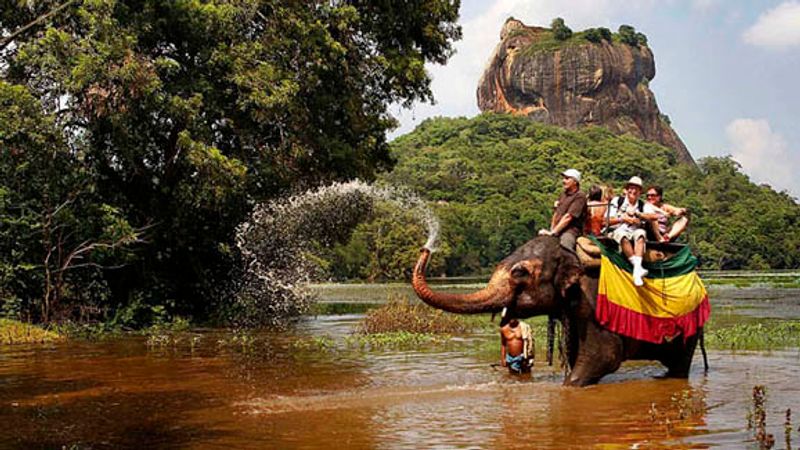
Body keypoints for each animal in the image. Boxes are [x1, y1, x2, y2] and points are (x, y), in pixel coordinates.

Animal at [412, 236, 700, 386]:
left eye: (519, 272)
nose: (426, 247)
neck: (568, 252)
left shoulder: (592, 303)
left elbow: (605, 356)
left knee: (679, 364)